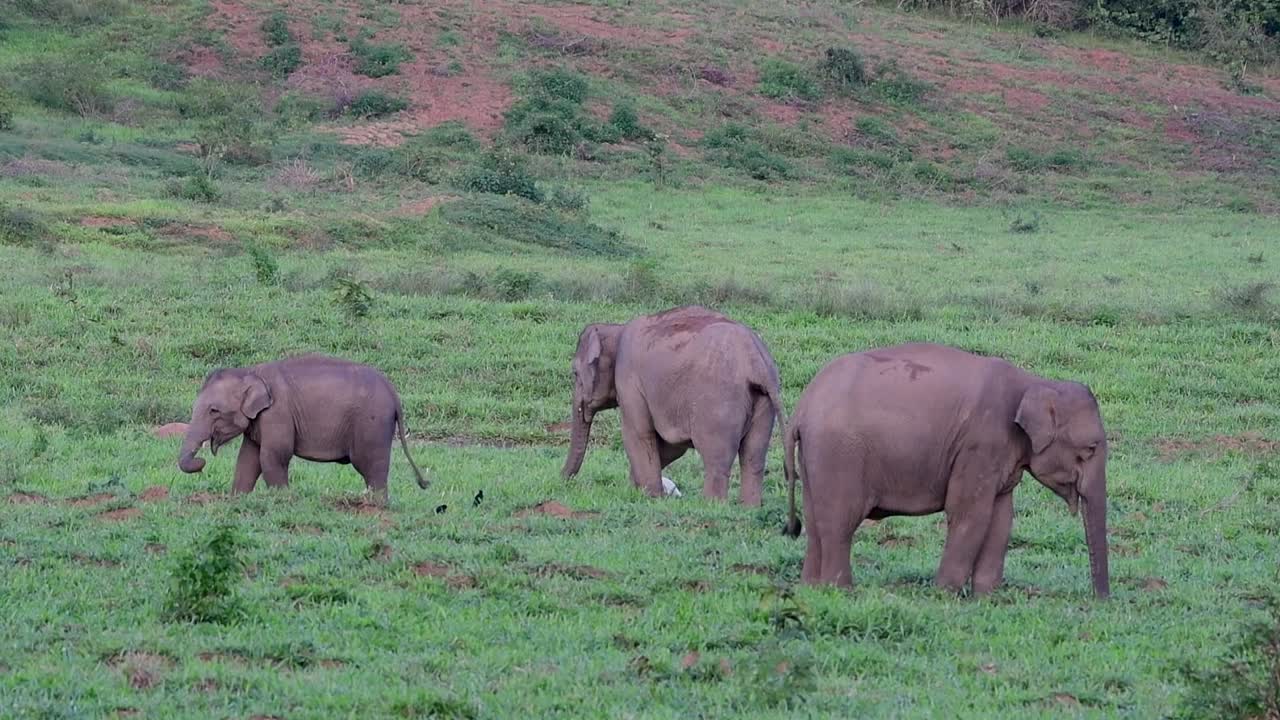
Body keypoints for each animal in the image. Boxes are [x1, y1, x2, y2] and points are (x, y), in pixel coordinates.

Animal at [177, 354, 428, 499]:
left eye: (213, 411)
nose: (201, 463)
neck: (250, 372)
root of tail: (394, 393)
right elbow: (247, 459)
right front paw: (237, 500)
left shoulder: (278, 413)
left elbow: (273, 456)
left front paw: (282, 500)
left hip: (372, 424)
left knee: (371, 466)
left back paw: (375, 505)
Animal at [562, 305, 786, 506]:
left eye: (575, 373)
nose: (563, 480)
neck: (616, 329)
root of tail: (758, 364)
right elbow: (672, 446)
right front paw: (639, 489)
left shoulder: (629, 380)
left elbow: (637, 433)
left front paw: (650, 497)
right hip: (763, 402)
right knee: (754, 456)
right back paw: (749, 508)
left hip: (719, 403)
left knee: (717, 458)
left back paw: (711, 506)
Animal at [782, 342, 1110, 598]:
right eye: (1091, 448)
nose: (1100, 601)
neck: (1035, 381)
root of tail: (802, 408)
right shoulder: (980, 444)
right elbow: (970, 514)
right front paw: (944, 595)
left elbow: (1002, 519)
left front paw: (985, 598)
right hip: (839, 454)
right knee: (840, 522)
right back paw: (841, 591)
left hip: (815, 458)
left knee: (815, 521)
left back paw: (811, 588)